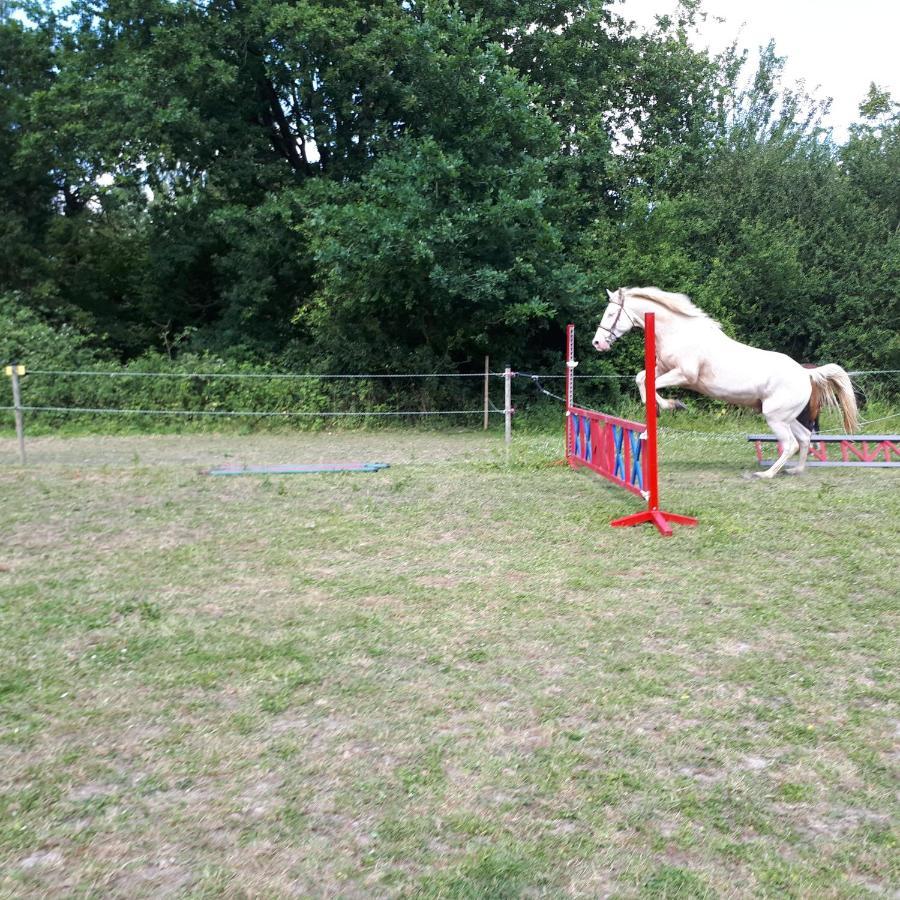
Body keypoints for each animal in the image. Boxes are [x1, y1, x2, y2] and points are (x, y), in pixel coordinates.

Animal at [592, 288, 856, 478]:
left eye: (610, 314)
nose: (597, 343)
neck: (678, 332)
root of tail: (804, 373)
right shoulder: (663, 368)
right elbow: (642, 378)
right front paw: (662, 407)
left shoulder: (683, 374)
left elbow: (650, 383)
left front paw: (671, 405)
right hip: (787, 417)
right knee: (804, 438)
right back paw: (796, 470)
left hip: (775, 417)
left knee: (790, 443)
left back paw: (766, 474)